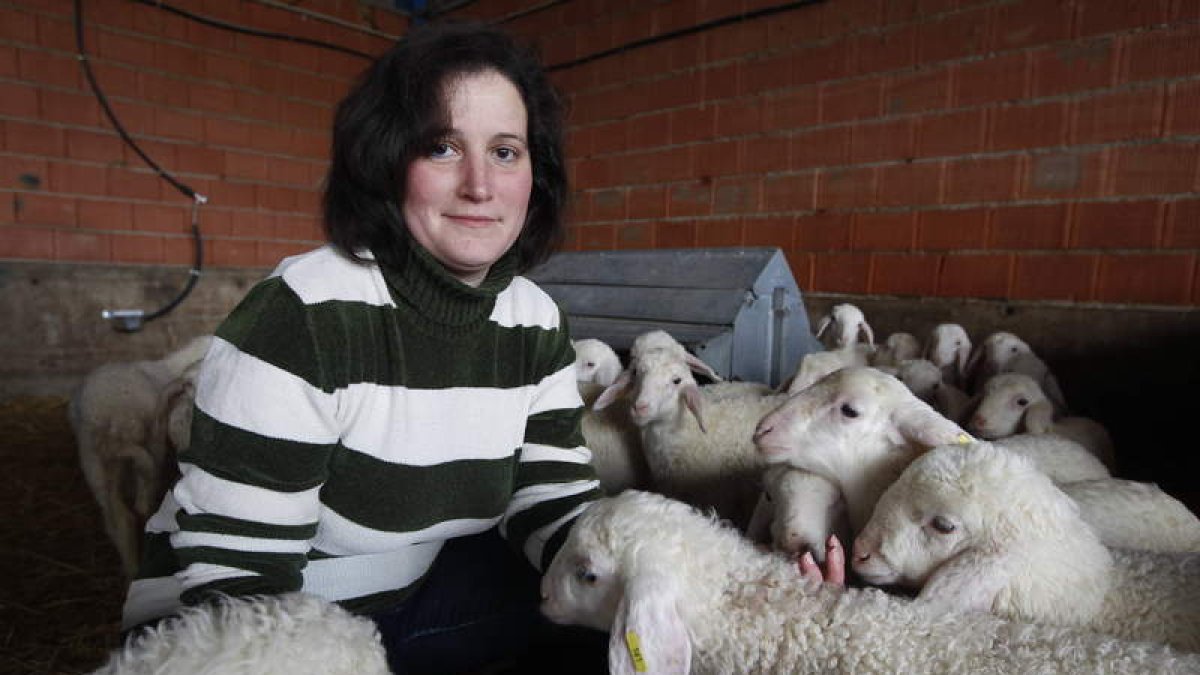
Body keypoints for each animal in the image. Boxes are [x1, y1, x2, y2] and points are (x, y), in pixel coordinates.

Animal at [68, 333, 213, 576]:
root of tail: (113, 422)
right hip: (149, 451)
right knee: (141, 507)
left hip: (94, 464)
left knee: (119, 521)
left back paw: (131, 570)